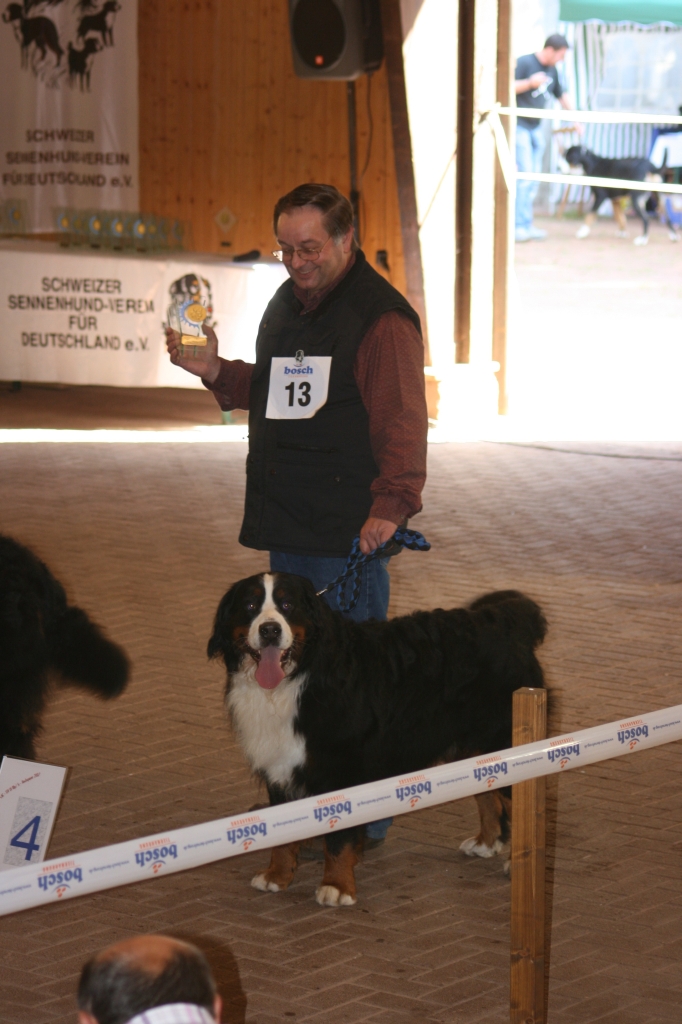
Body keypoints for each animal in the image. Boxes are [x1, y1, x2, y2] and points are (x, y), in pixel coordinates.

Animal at [208, 572, 547, 906]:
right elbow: (281, 831)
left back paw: (518, 862)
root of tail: (504, 618)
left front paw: (336, 885)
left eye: (288, 605)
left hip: (502, 739)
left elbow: (339, 838)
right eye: (250, 605)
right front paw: (276, 876)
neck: (299, 678)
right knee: (488, 793)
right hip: (470, 746)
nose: (269, 630)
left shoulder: (341, 767)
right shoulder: (280, 765)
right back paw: (486, 842)